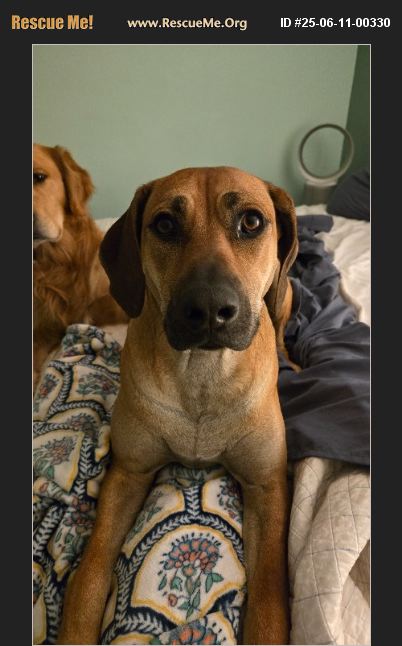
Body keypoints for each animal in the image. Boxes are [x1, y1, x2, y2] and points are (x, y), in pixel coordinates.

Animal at [57, 167, 298, 645]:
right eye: (165, 224)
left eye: (251, 221)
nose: (208, 308)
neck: (201, 374)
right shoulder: (128, 472)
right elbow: (90, 569)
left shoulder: (266, 485)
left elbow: (268, 593)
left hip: (287, 293)